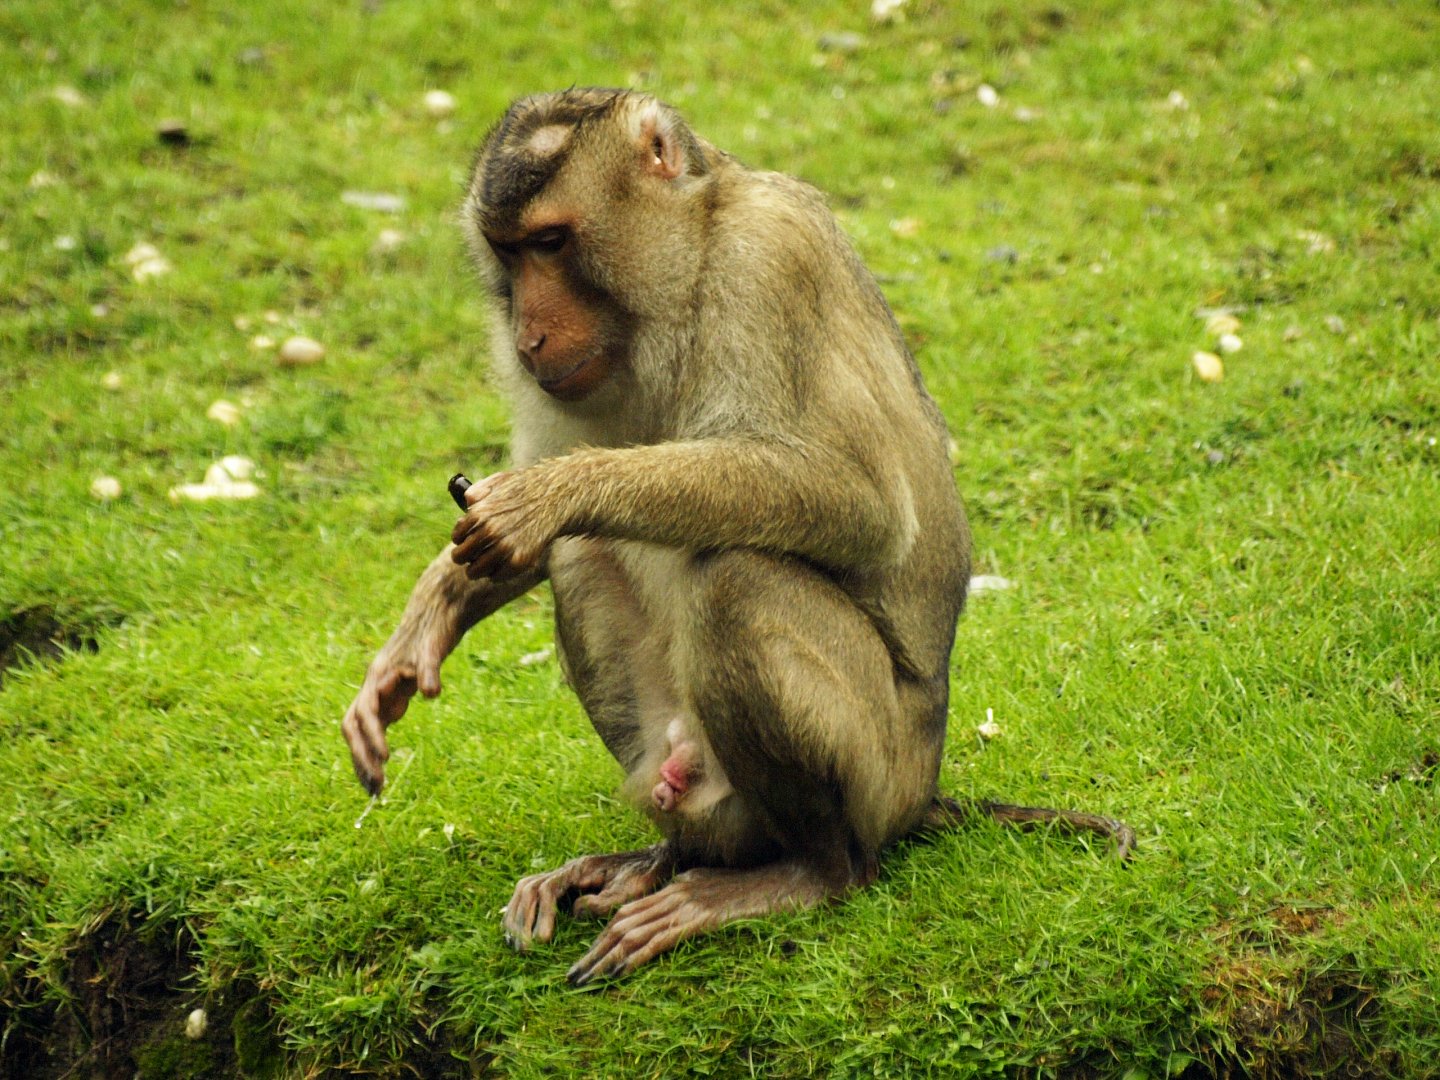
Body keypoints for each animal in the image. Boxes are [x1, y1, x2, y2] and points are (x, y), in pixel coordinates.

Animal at [341, 88, 1134, 986]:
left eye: (552, 242)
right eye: (509, 253)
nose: (529, 336)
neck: (684, 267)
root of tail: (923, 790)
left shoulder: (769, 262)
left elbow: (859, 501)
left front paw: (555, 495)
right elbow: (516, 547)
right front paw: (427, 618)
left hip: (882, 772)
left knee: (739, 580)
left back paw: (808, 870)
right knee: (585, 557)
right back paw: (666, 859)